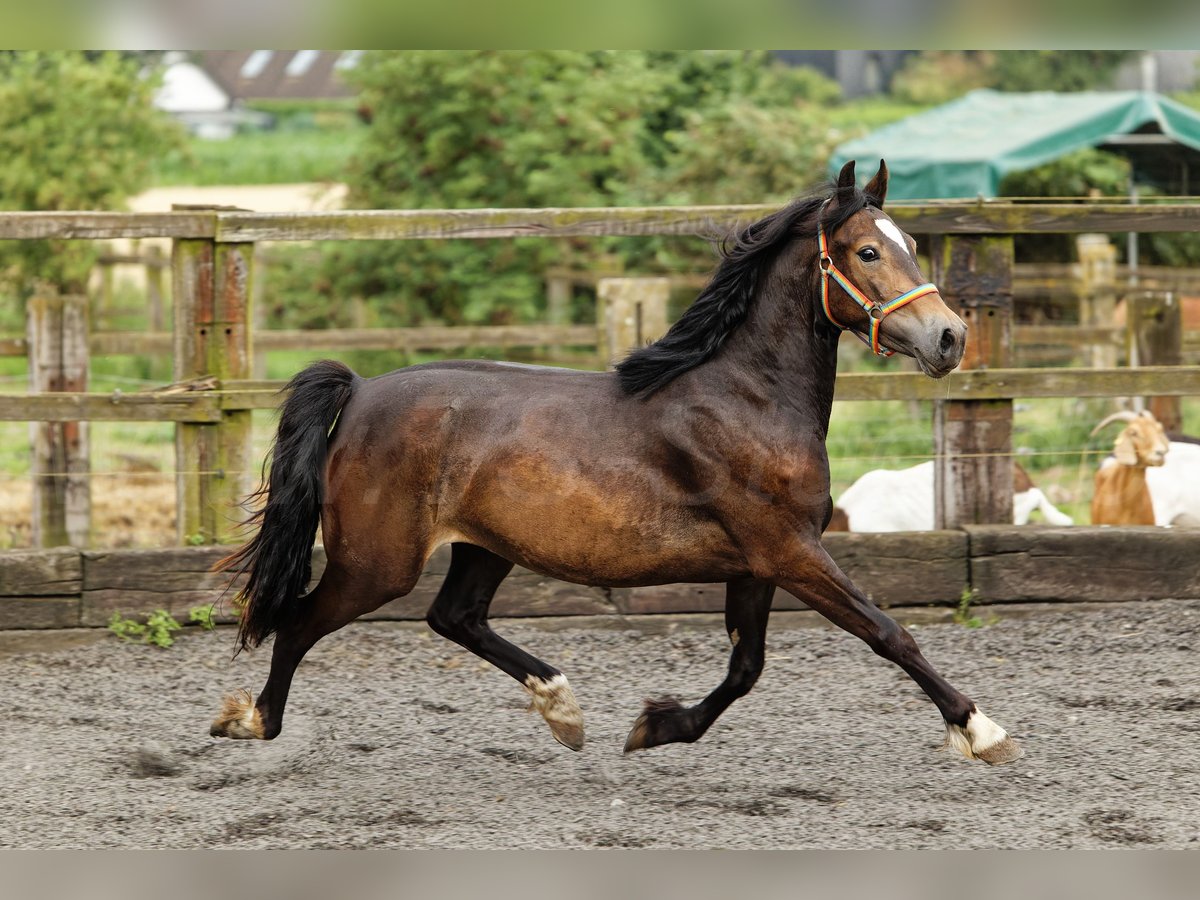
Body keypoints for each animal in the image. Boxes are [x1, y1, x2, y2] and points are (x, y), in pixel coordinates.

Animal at [213, 162, 1022, 768]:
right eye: (866, 252)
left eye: (910, 241)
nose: (949, 337)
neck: (747, 397)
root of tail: (358, 392)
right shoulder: (790, 551)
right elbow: (888, 633)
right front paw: (979, 729)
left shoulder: (759, 562)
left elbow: (747, 667)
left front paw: (655, 727)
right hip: (378, 563)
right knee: (301, 621)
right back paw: (253, 720)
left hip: (484, 546)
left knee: (455, 617)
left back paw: (562, 709)